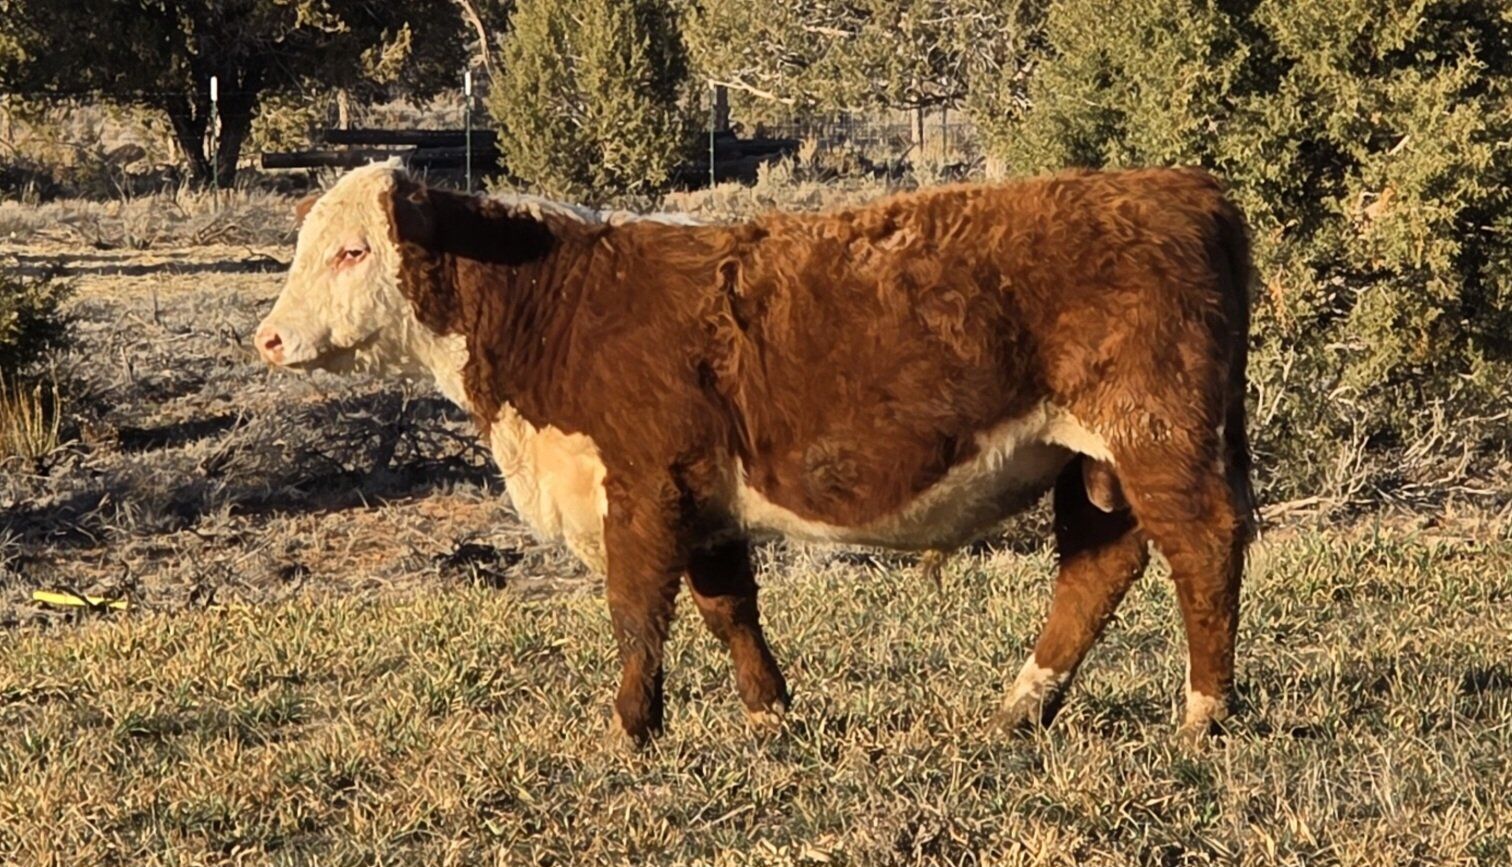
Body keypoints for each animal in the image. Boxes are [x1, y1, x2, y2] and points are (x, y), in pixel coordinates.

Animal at [255, 163, 1256, 746]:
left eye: (352, 251)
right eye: (304, 246)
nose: (267, 338)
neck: (560, 302)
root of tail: (1186, 185)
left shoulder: (643, 485)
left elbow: (637, 611)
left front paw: (630, 731)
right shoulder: (703, 496)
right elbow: (726, 606)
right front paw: (770, 715)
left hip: (1156, 431)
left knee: (1202, 547)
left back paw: (1204, 715)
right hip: (1091, 459)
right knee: (1099, 564)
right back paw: (1019, 710)